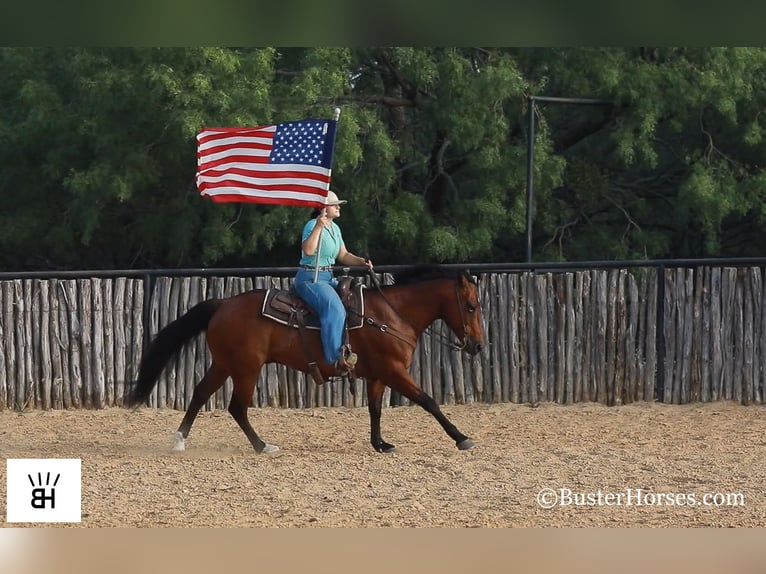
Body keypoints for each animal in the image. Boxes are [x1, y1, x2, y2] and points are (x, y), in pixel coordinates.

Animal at [126, 268, 486, 456]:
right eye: (470, 306)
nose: (479, 345)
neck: (391, 314)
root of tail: (223, 304)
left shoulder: (379, 375)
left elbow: (375, 410)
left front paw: (380, 444)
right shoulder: (395, 372)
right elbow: (429, 402)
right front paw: (462, 438)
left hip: (225, 364)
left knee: (201, 394)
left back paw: (179, 440)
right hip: (246, 368)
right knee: (236, 407)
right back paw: (262, 446)